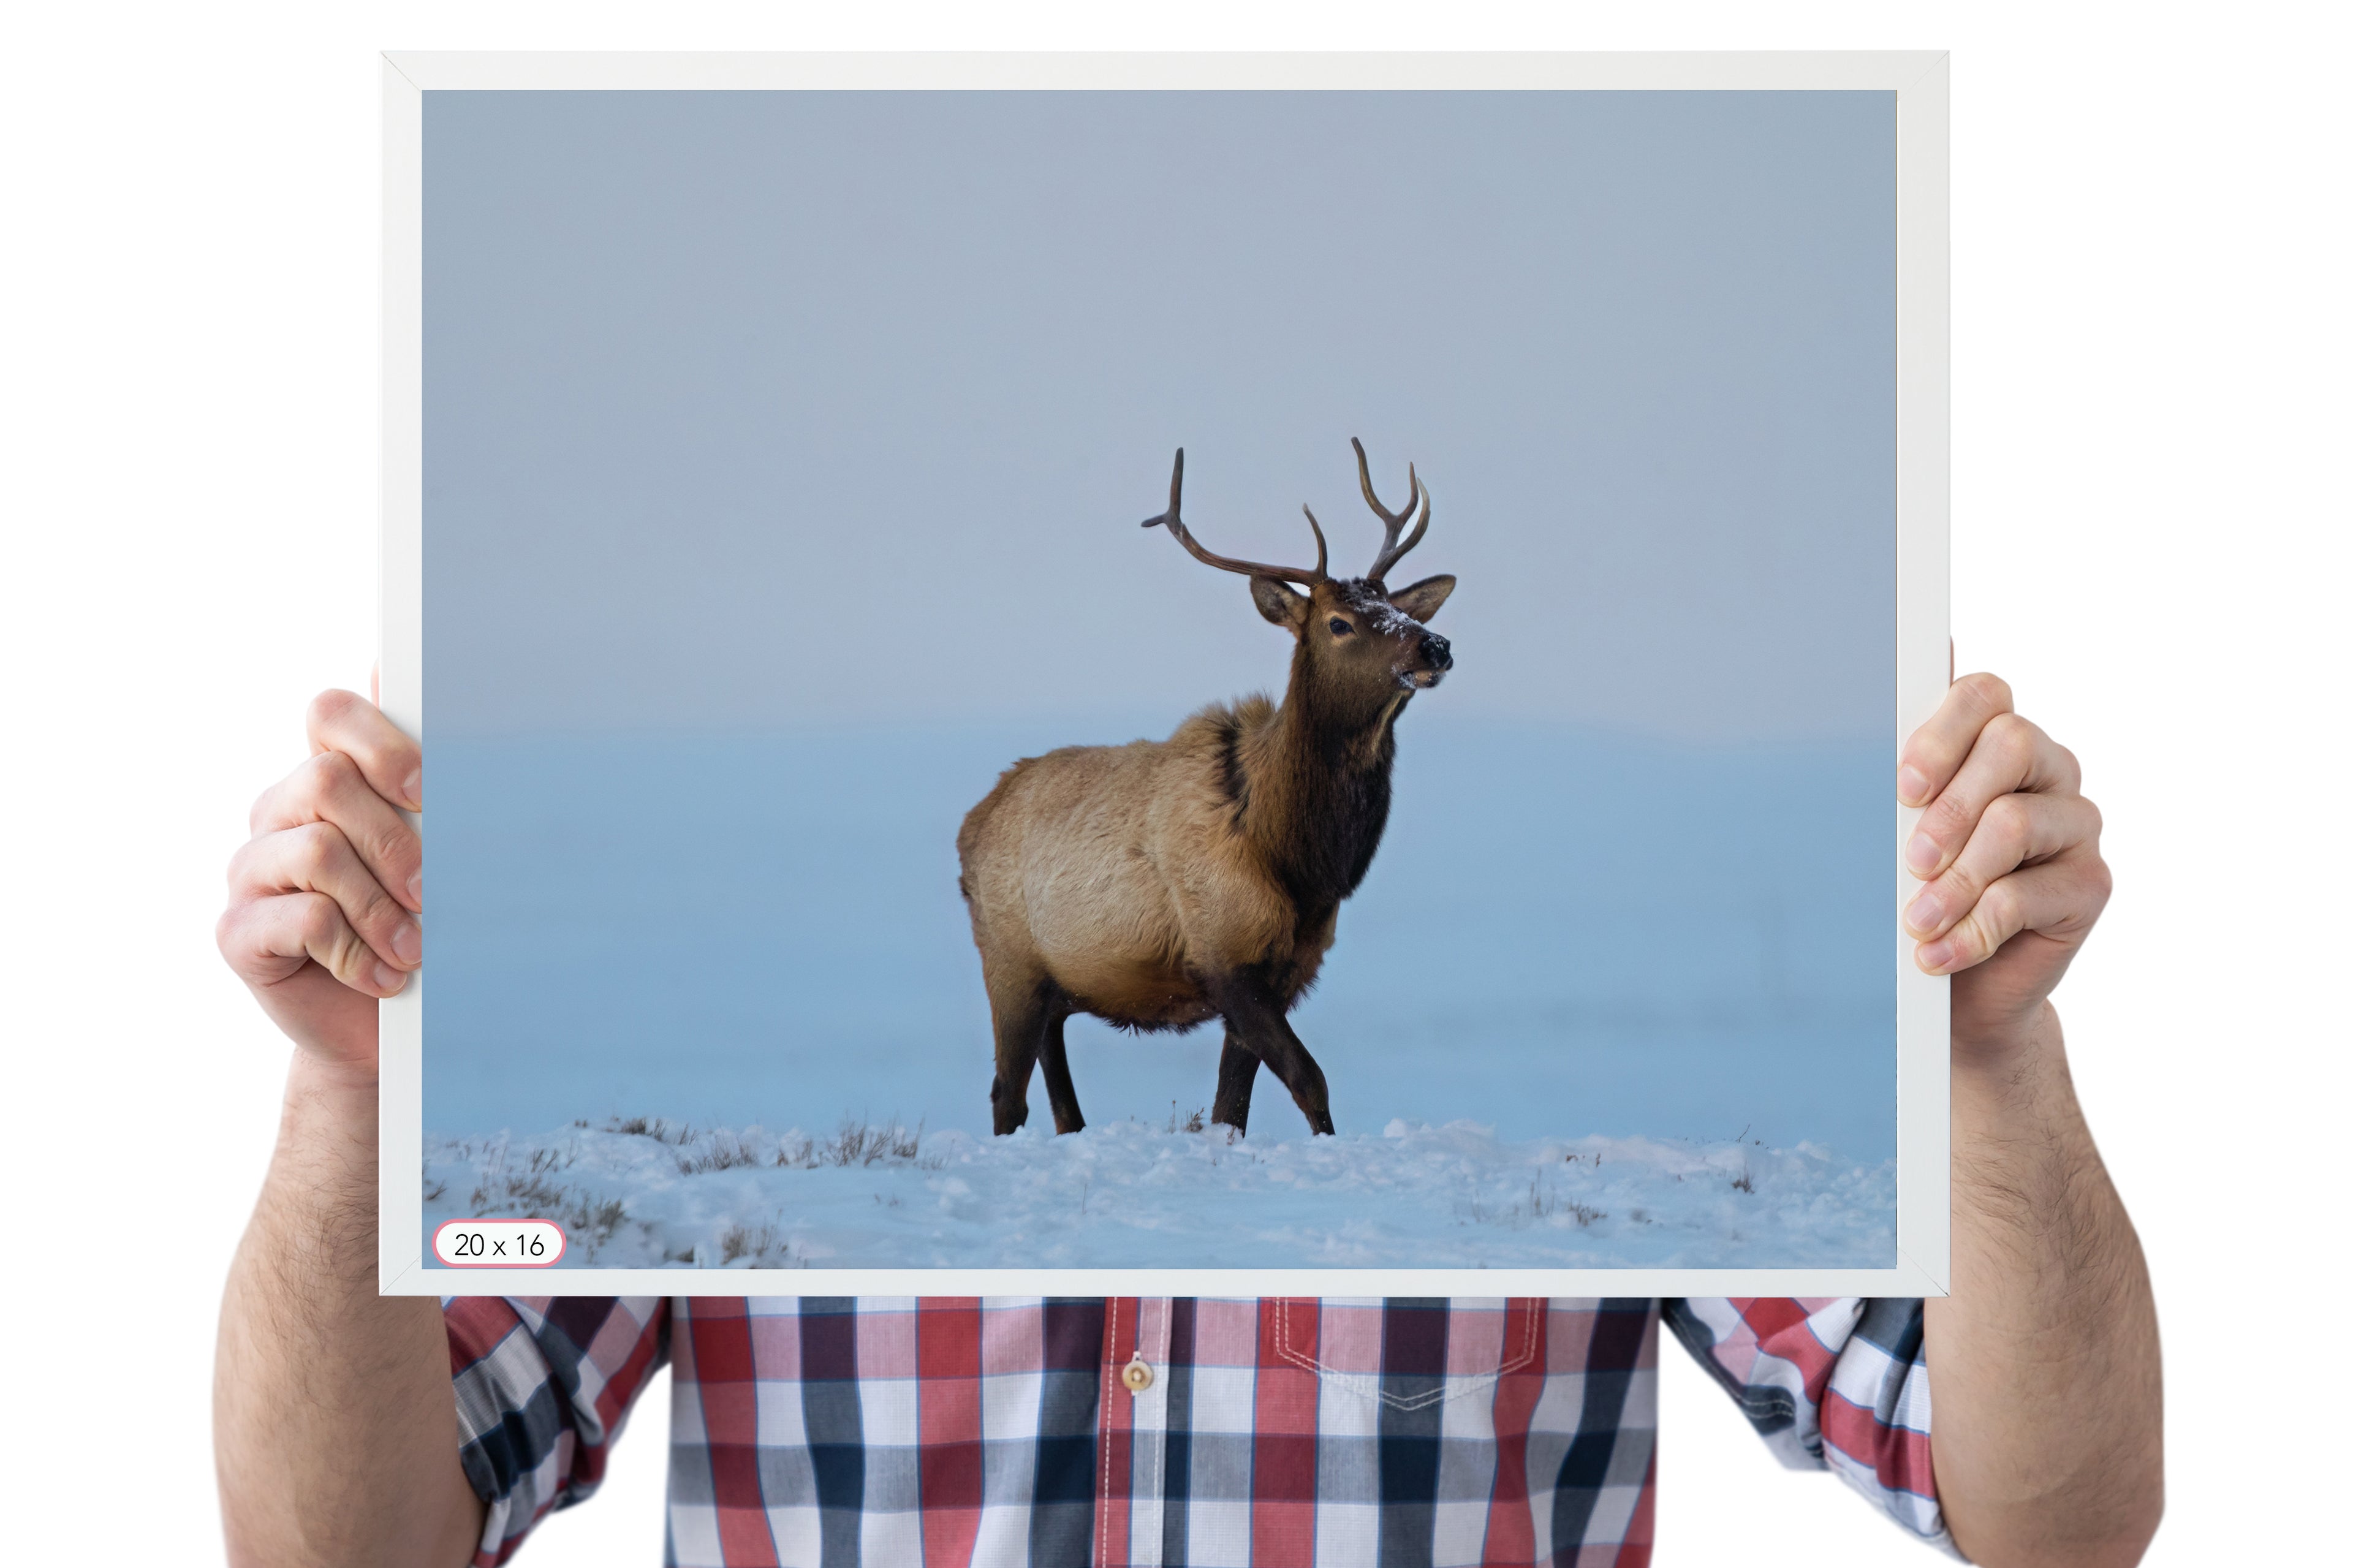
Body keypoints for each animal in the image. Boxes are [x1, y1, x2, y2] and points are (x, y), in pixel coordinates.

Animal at [955, 439, 1456, 1138]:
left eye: (1399, 607)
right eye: (1339, 622)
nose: (1435, 645)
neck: (1302, 861)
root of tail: (970, 827)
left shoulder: (1286, 967)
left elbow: (1231, 1108)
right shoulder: (1224, 953)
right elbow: (1309, 1080)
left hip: (1057, 984)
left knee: (1057, 1093)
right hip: (1008, 960)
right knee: (1007, 1093)